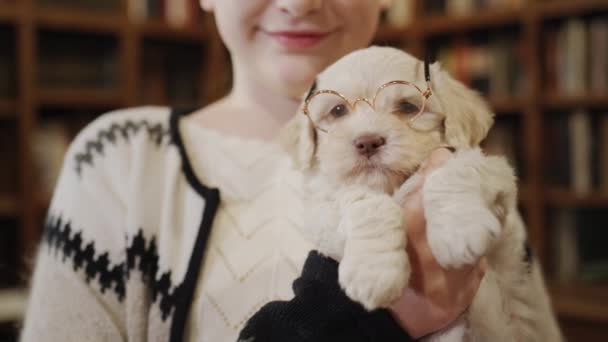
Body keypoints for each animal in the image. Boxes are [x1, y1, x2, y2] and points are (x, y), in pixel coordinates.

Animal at [282, 46, 564, 342]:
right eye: (338, 110)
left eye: (408, 107)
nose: (368, 142)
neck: (393, 185)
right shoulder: (322, 212)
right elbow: (364, 202)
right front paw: (374, 272)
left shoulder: (495, 170)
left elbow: (452, 173)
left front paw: (459, 230)